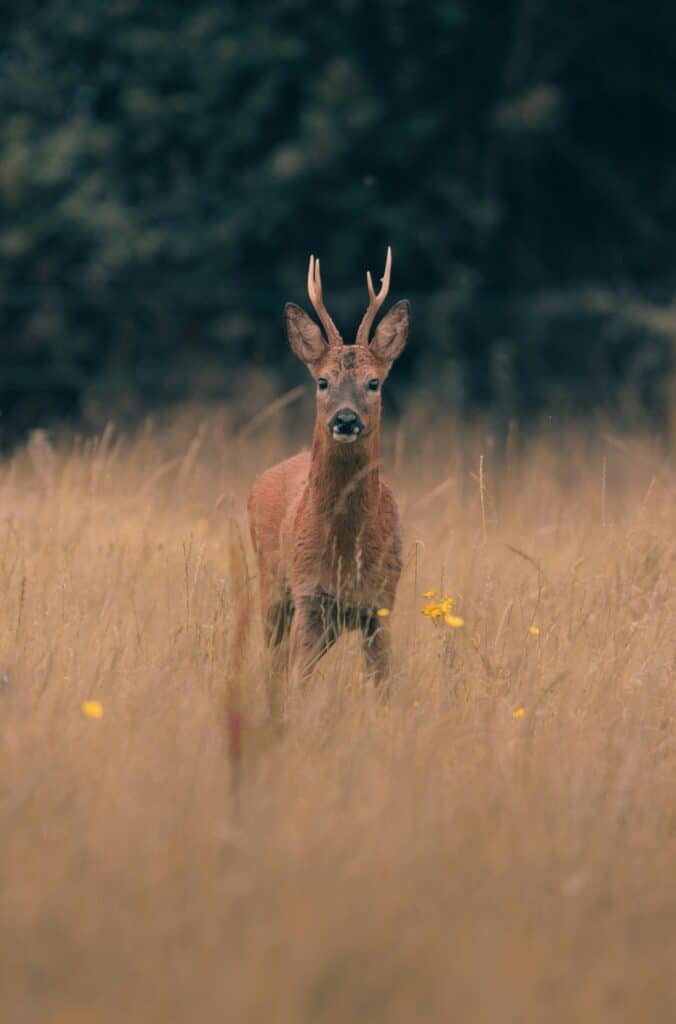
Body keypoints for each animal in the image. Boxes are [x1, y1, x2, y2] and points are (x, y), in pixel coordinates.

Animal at [247, 247, 409, 689]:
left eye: (374, 382)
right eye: (322, 381)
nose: (346, 419)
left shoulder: (380, 604)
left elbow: (386, 687)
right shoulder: (309, 595)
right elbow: (299, 679)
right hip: (271, 581)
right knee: (275, 659)